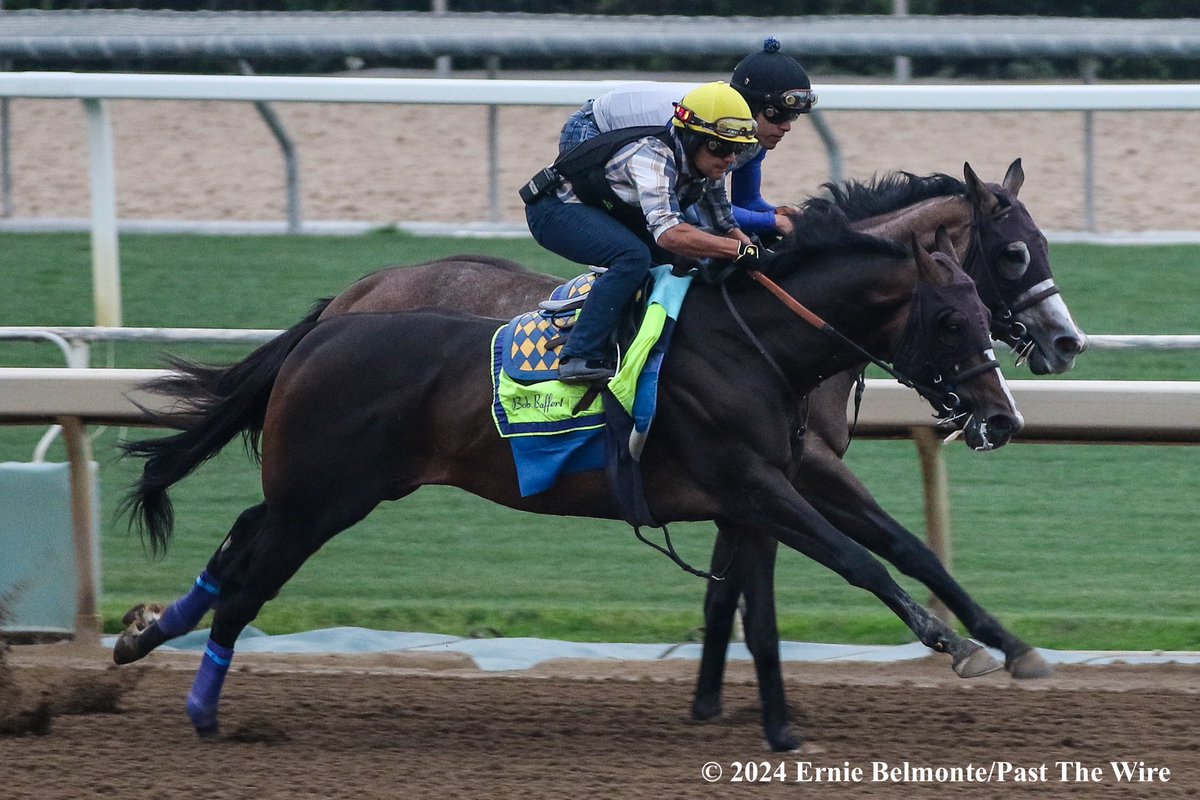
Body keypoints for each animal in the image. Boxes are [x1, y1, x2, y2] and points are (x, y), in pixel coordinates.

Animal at [117, 214, 1022, 753]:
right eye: (954, 316)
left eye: (983, 308)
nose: (1003, 415)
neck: (750, 346)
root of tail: (323, 330)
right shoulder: (756, 482)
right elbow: (857, 561)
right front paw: (954, 644)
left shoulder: (767, 488)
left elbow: (783, 604)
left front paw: (782, 730)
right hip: (321, 501)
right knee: (247, 585)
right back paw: (202, 711)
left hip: (315, 493)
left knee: (237, 545)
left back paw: (143, 635)